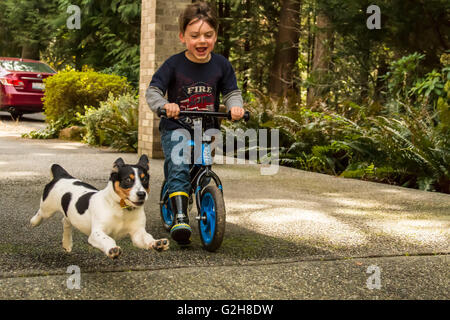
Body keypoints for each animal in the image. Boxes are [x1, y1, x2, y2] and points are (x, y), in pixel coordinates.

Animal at [29, 155, 169, 260]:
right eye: (128, 180)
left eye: (145, 180)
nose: (141, 194)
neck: (121, 210)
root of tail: (63, 176)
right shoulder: (96, 234)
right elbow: (107, 239)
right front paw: (112, 249)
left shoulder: (137, 233)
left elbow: (146, 238)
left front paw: (157, 243)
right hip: (47, 208)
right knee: (41, 213)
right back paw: (34, 221)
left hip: (69, 212)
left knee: (65, 221)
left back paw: (67, 243)